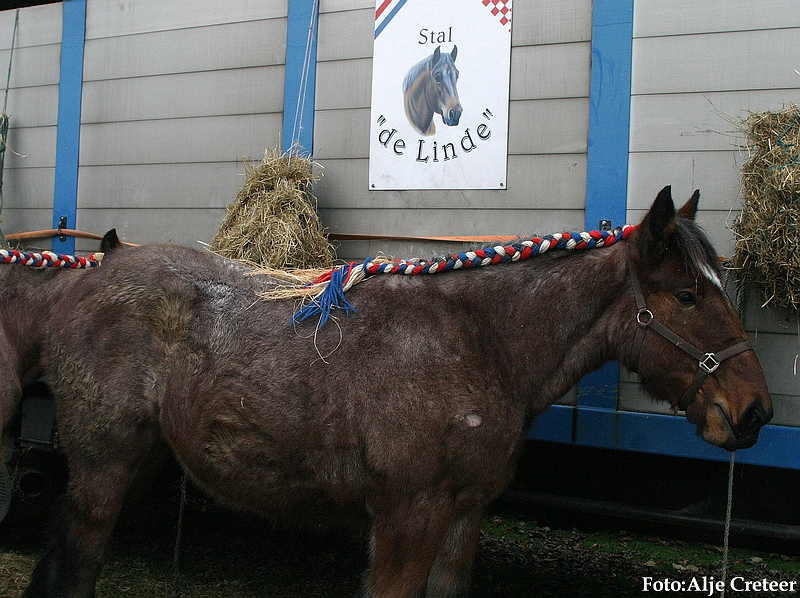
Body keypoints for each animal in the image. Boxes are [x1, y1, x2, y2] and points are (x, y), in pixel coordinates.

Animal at [23, 189, 768, 598]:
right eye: (686, 295)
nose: (753, 410)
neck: (479, 342)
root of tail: (94, 269)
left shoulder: (462, 520)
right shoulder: (408, 520)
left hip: (142, 460)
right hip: (105, 464)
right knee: (77, 562)